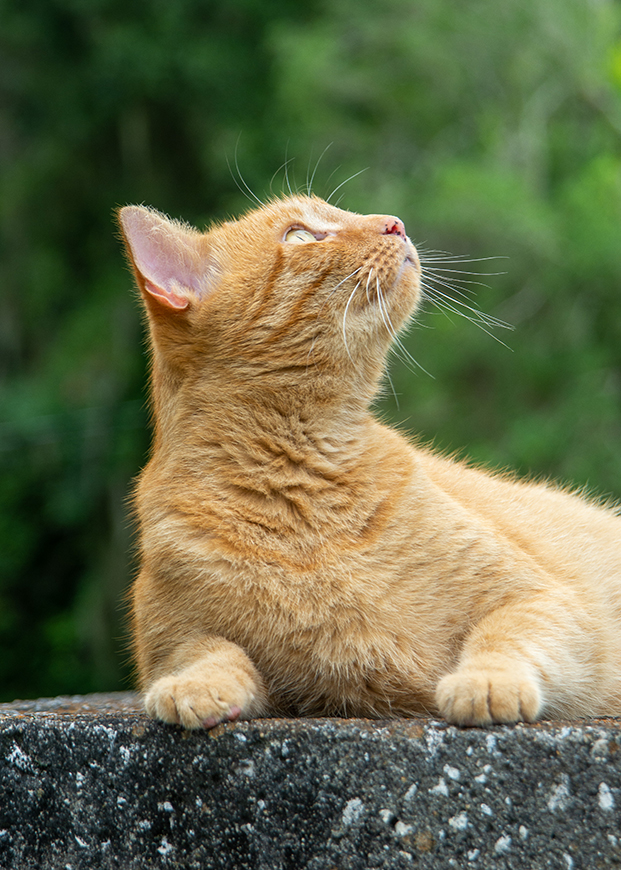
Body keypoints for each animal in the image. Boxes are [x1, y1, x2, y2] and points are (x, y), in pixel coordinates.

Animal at [118, 196, 620, 728]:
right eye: (300, 235)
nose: (394, 224)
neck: (299, 492)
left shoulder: (544, 601)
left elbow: (501, 638)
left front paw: (485, 683)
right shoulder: (169, 642)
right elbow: (210, 653)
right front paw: (193, 688)